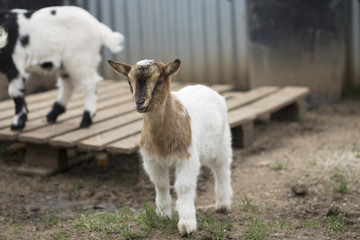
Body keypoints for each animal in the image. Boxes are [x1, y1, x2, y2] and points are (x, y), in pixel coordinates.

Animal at [107, 58, 233, 236]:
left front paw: (187, 225)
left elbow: (183, 186)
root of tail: (205, 87)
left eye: (159, 81)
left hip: (222, 141)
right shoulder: (152, 160)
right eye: (129, 82)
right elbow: (161, 185)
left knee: (222, 170)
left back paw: (223, 204)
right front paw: (163, 214)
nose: (139, 103)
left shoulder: (187, 157)